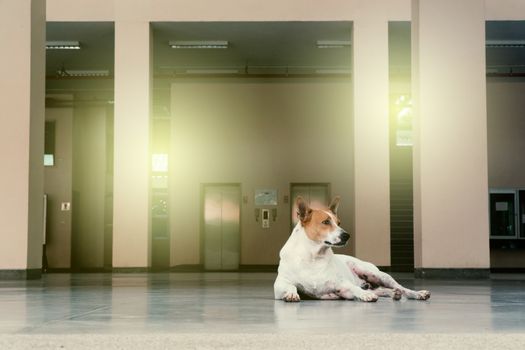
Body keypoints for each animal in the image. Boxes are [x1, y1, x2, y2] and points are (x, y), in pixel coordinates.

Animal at [274, 196, 430, 302]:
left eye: (338, 223)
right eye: (326, 222)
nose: (347, 235)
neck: (313, 257)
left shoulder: (343, 286)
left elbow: (353, 288)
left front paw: (364, 294)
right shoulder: (280, 284)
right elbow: (290, 286)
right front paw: (291, 293)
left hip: (377, 274)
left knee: (401, 287)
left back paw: (417, 293)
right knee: (384, 290)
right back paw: (393, 293)